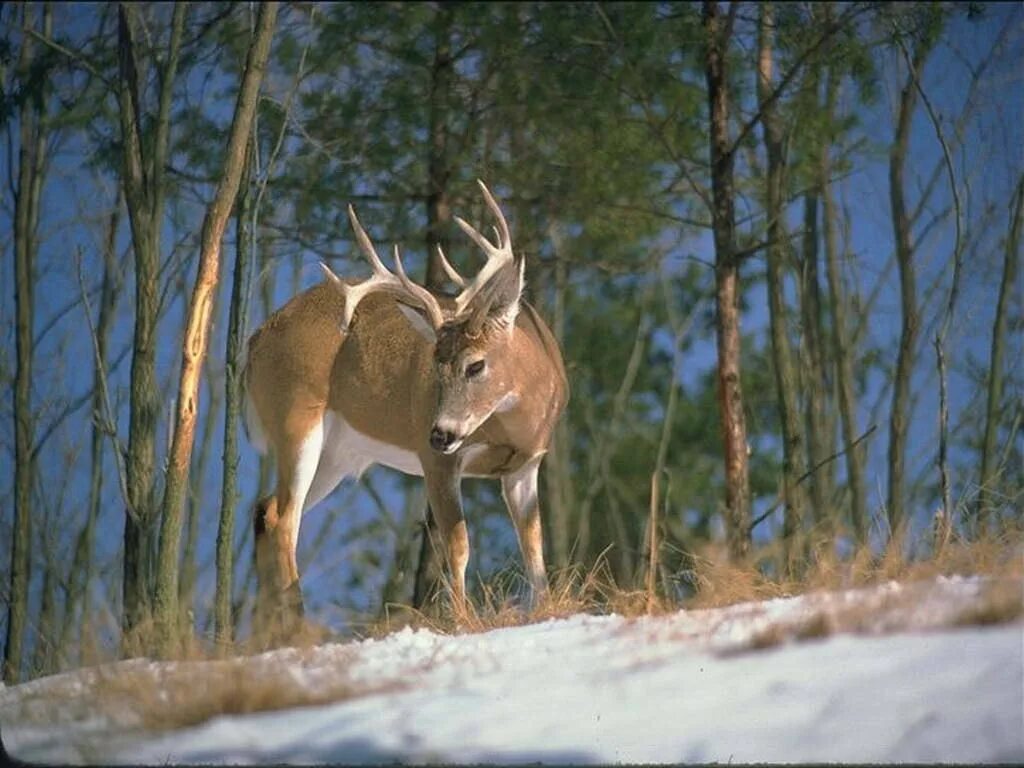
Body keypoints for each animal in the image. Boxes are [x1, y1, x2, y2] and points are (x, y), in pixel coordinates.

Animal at [244, 182, 573, 638]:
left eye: (475, 364)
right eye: (435, 362)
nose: (441, 432)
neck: (512, 425)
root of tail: (254, 342)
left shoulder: (527, 464)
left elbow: (534, 544)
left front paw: (545, 609)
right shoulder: (437, 460)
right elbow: (457, 543)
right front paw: (462, 620)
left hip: (336, 455)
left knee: (264, 509)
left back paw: (263, 634)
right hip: (296, 417)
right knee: (283, 521)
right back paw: (299, 628)